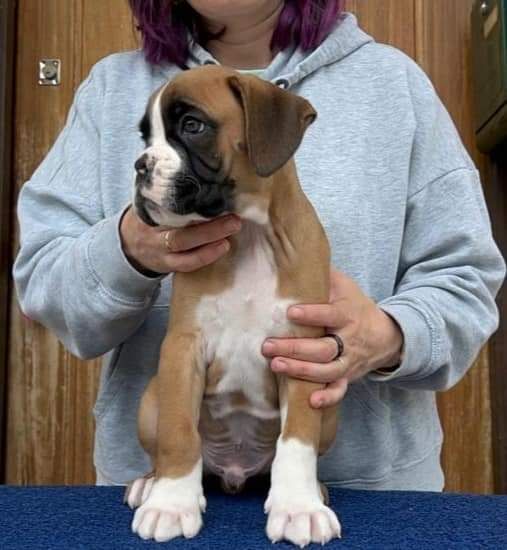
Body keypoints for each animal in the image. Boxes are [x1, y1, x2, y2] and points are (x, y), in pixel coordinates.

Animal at [124, 65, 341, 547]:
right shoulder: (183, 349)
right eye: (145, 136)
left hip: (330, 410)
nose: (140, 164)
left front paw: (298, 507)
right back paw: (150, 483)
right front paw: (171, 503)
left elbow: (296, 439)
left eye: (192, 126)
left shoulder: (300, 349)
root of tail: (236, 470)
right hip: (150, 398)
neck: (250, 236)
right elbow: (178, 432)